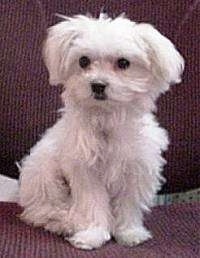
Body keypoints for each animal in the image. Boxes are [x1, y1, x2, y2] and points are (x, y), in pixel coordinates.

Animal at [18, 13, 184, 250]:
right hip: (44, 173)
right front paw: (92, 234)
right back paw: (65, 222)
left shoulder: (135, 168)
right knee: (41, 210)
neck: (106, 119)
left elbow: (128, 204)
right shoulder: (86, 171)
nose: (97, 85)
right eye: (83, 61)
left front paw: (130, 232)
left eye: (123, 63)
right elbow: (92, 203)